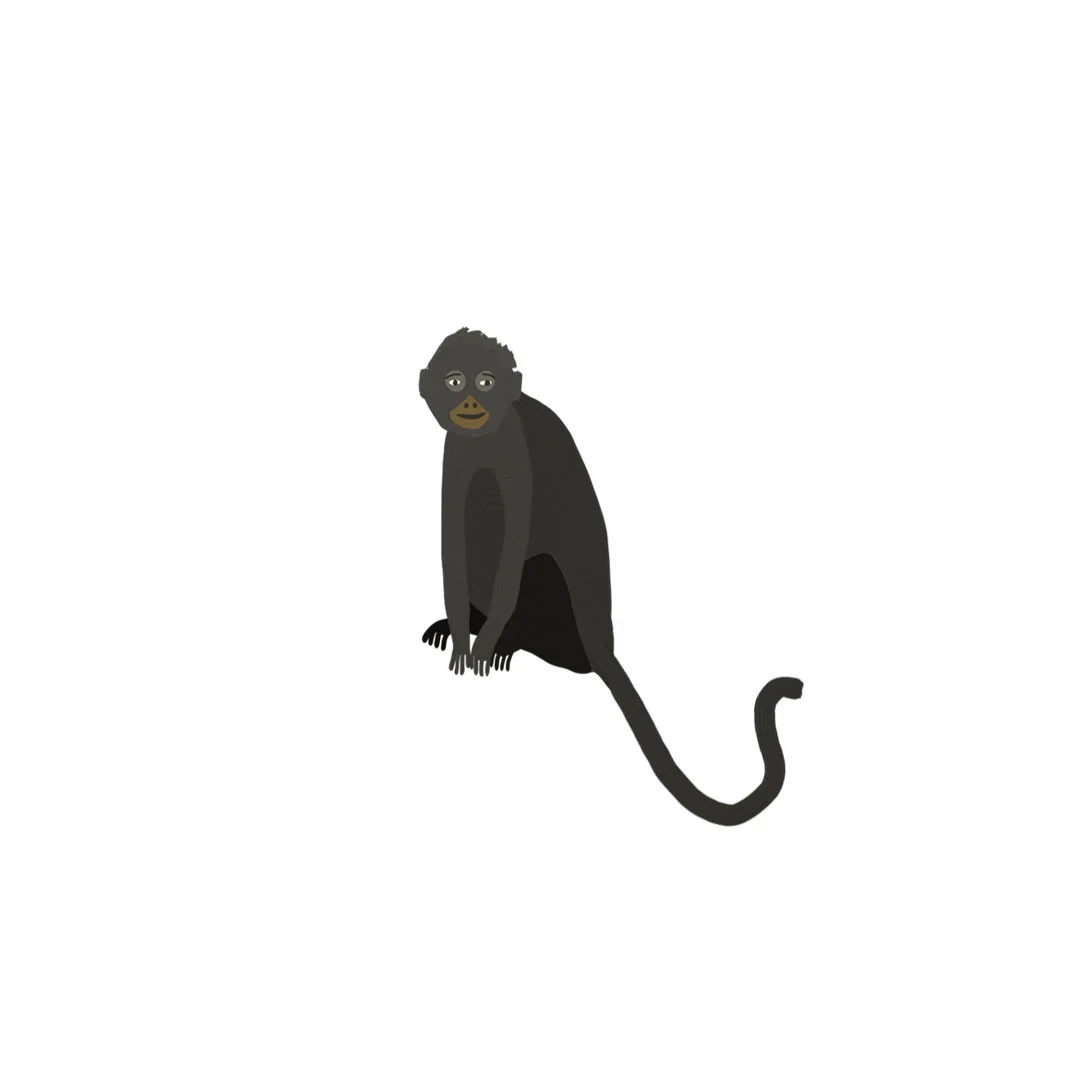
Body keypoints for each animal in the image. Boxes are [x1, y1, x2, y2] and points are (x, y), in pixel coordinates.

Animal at [418, 328, 803, 826]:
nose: (468, 402)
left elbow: (516, 538)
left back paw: (508, 638)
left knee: (522, 547)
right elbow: (452, 541)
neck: (486, 437)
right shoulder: (456, 452)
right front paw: (461, 633)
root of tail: (600, 642)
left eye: (485, 382)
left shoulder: (515, 448)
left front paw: (483, 645)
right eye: (454, 381)